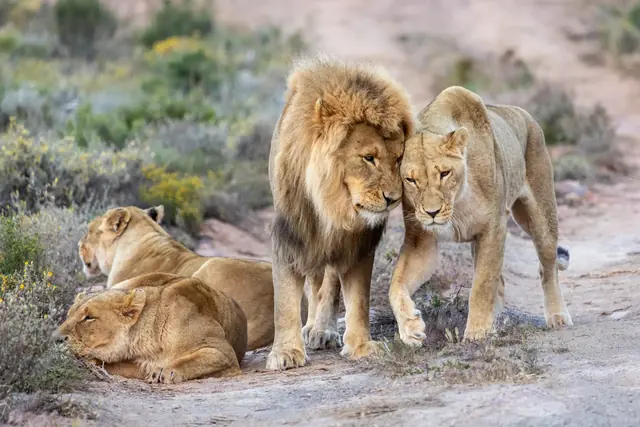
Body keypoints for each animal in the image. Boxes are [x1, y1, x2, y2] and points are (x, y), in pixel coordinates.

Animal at [56, 273, 247, 383]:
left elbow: (191, 360)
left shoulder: (224, 353)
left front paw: (165, 370)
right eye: (68, 315)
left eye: (89, 317)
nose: (55, 339)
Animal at [266, 54, 414, 370]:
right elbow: (284, 300)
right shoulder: (291, 235)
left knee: (330, 284)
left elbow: (358, 298)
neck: (332, 203)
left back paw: (323, 329)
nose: (393, 199)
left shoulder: (358, 243)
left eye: (398, 159)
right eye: (369, 158)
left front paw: (361, 346)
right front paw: (285, 352)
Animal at [389, 85, 573, 344]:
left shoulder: (494, 228)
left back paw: (557, 316)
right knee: (502, 281)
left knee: (548, 267)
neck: (457, 201)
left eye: (444, 173)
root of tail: (521, 112)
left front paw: (477, 334)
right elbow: (395, 284)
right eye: (411, 180)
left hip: (542, 215)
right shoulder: (421, 241)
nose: (432, 212)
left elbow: (482, 285)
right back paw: (497, 324)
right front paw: (410, 327)